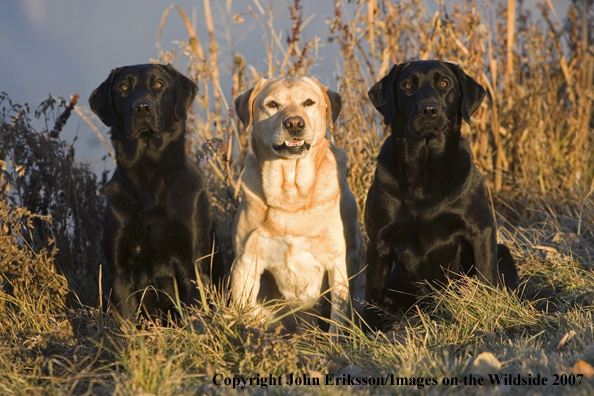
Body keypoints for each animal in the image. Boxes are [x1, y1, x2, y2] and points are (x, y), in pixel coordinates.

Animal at [89, 63, 223, 320]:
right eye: (123, 88)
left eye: (159, 85)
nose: (142, 107)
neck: (148, 174)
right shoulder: (120, 272)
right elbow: (127, 320)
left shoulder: (193, 265)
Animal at [230, 76, 360, 332]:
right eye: (272, 104)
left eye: (308, 102)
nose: (294, 124)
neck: (291, 193)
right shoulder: (246, 261)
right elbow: (241, 310)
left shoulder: (338, 262)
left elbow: (338, 319)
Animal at [360, 60, 520, 330]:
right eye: (407, 86)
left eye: (444, 83)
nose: (428, 110)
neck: (423, 173)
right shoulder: (378, 241)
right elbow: (371, 294)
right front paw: (366, 332)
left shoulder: (481, 230)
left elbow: (486, 276)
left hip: (503, 252)